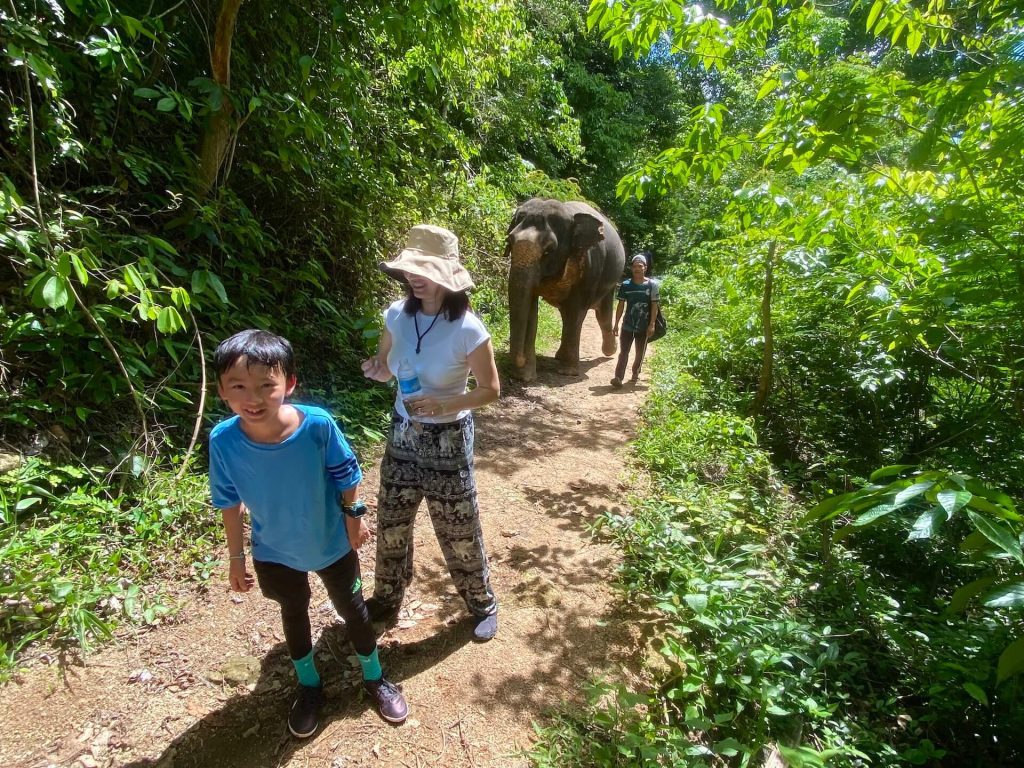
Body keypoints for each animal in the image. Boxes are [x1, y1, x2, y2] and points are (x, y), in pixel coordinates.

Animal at [503, 196, 622, 380]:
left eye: (548, 250)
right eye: (509, 241)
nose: (520, 359)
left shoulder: (590, 268)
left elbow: (576, 312)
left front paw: (568, 372)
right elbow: (531, 310)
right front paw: (525, 376)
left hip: (610, 281)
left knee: (602, 315)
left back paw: (609, 351)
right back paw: (560, 356)